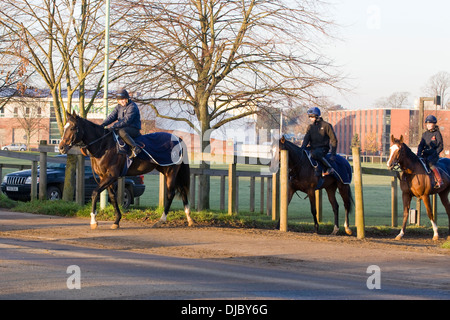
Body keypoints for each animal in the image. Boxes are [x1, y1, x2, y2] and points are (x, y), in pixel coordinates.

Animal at [58, 111, 193, 229]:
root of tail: (178, 139)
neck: (104, 146)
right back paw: (189, 218)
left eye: (72, 127)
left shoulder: (111, 176)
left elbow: (95, 193)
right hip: (169, 171)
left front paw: (93, 221)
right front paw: (117, 220)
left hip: (171, 172)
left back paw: (161, 220)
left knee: (171, 194)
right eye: (65, 127)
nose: (61, 147)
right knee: (182, 190)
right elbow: (112, 197)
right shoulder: (104, 177)